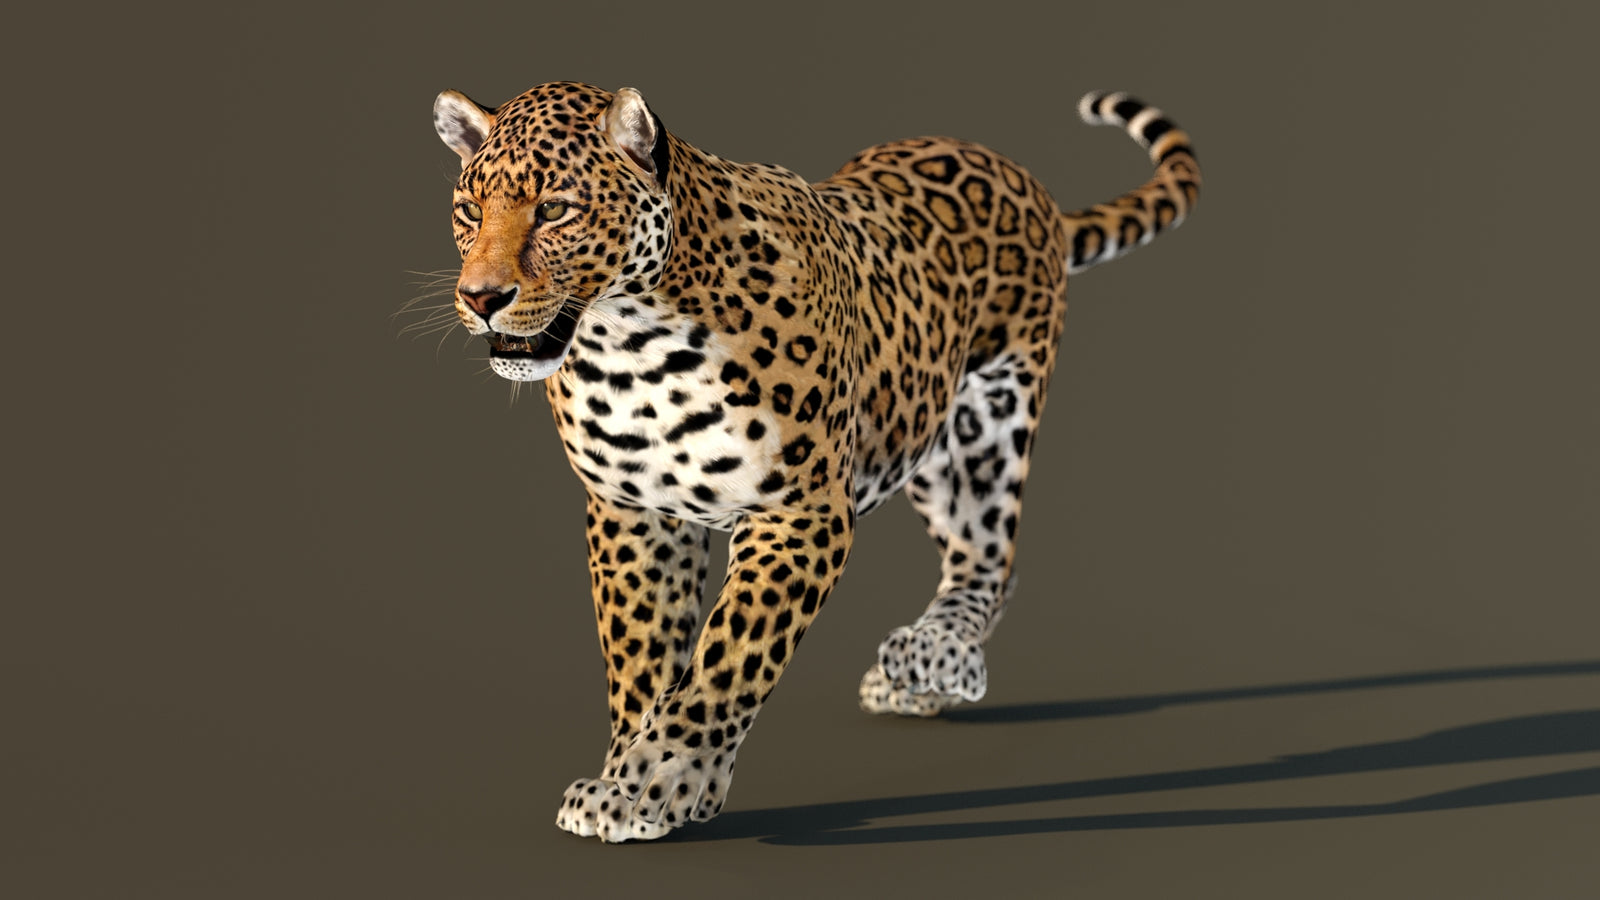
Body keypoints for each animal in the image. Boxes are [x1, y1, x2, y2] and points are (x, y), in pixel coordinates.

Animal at [426, 80, 1201, 842]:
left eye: (555, 209)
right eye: (469, 211)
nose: (481, 298)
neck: (629, 347)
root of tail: (1019, 174)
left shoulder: (798, 509)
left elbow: (730, 655)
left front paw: (658, 777)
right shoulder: (634, 512)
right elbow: (641, 656)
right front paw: (626, 776)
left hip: (988, 420)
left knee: (991, 555)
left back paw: (934, 655)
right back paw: (913, 680)